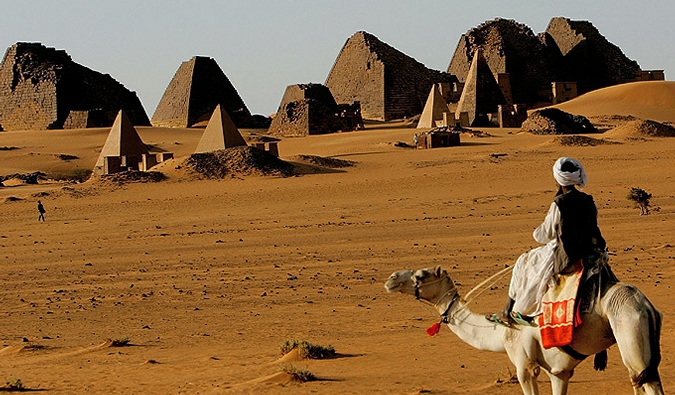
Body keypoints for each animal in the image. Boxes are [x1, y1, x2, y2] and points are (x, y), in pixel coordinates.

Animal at [386, 266, 664, 395]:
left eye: (421, 275)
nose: (391, 279)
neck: (500, 333)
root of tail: (646, 306)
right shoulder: (559, 372)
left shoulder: (524, 366)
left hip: (629, 332)